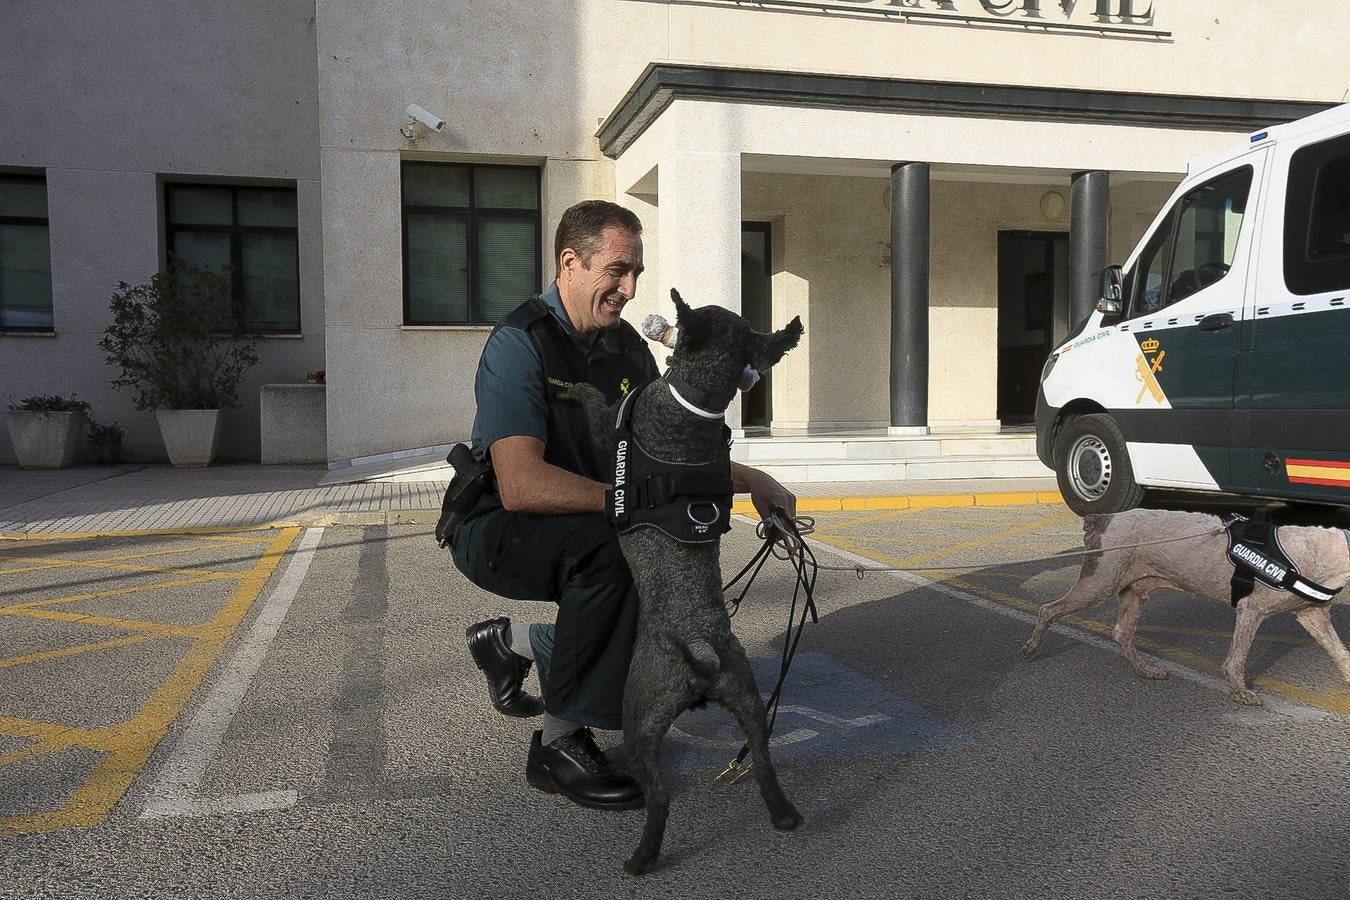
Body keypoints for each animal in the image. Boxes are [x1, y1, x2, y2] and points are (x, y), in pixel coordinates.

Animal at [1020, 510, 1350, 707]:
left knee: (1122, 632)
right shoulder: (1250, 610)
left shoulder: (1312, 614)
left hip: (1133, 589)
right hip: (1100, 580)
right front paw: (1239, 691)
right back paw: (1032, 647)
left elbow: (1340, 651)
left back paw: (1145, 670)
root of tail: (1104, 517)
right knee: (1048, 609)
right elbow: (1238, 657)